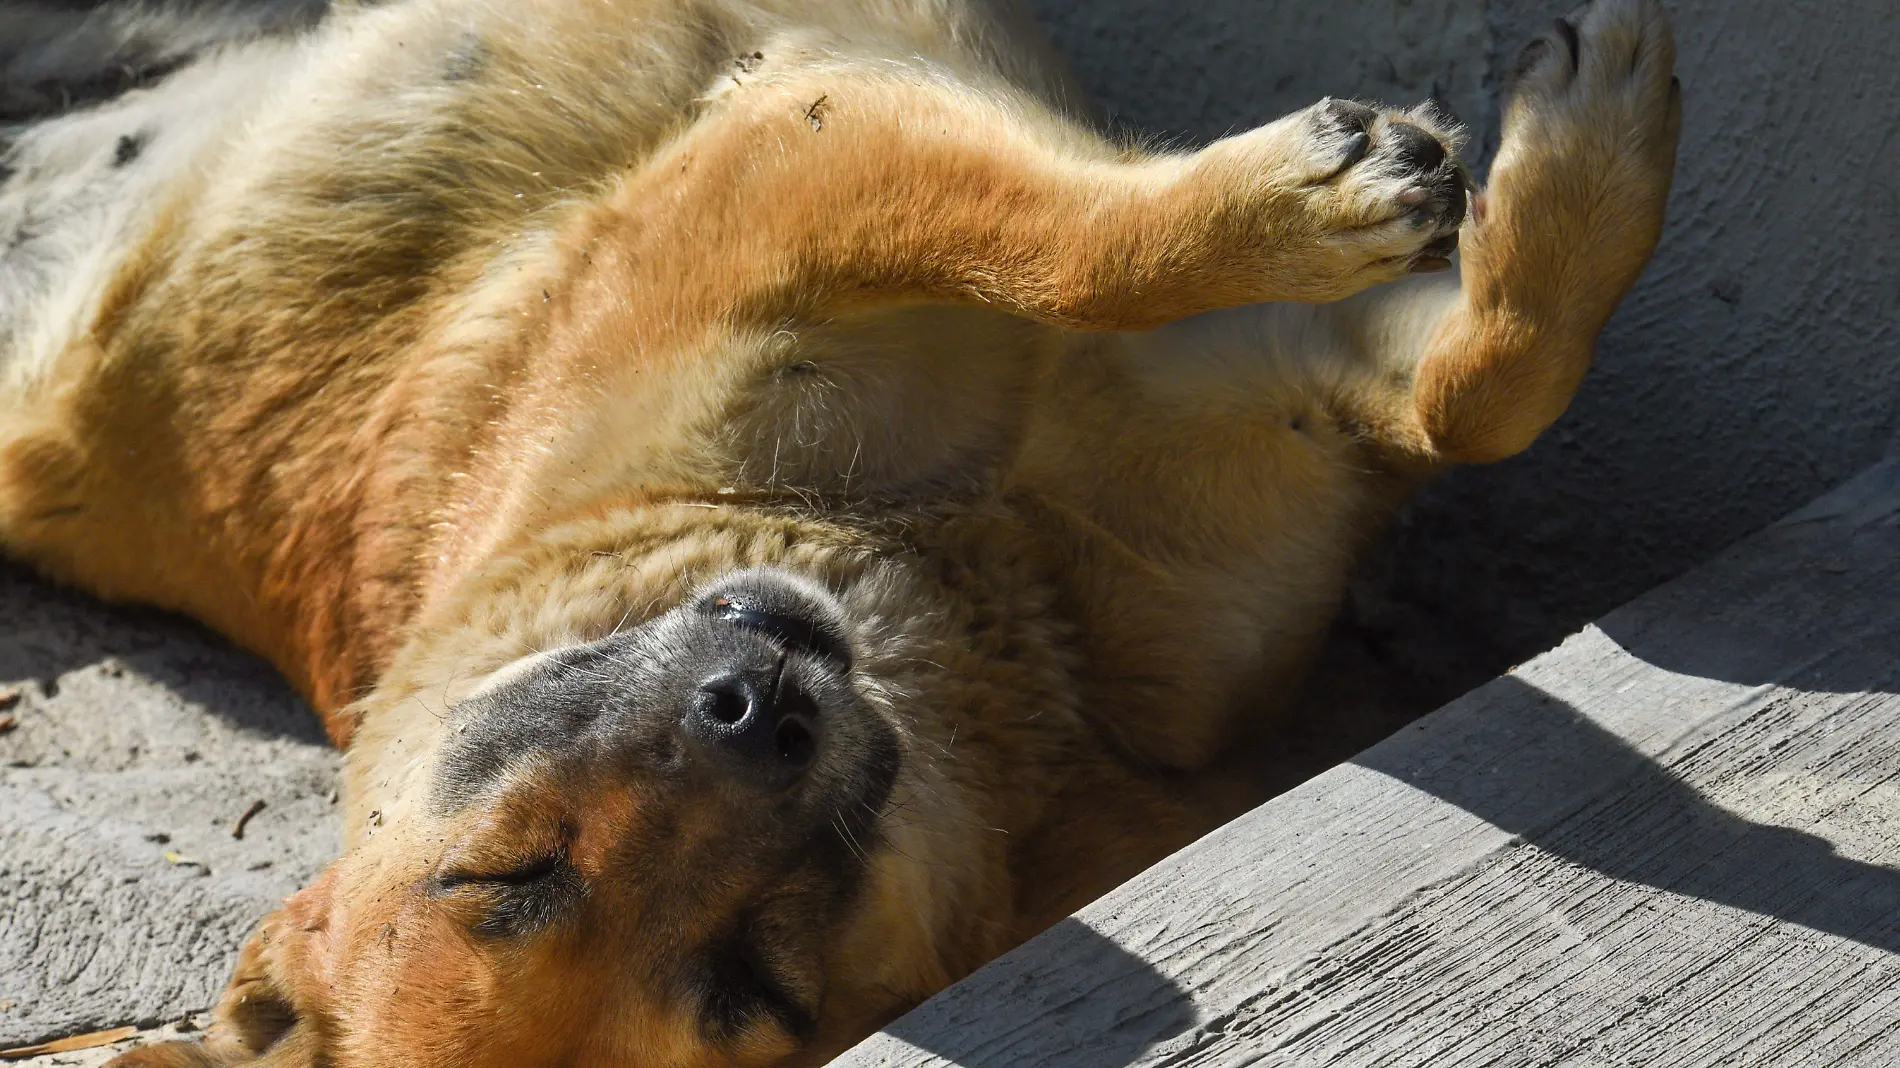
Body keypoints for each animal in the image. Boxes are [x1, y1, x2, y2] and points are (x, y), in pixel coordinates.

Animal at [0, 0, 1679, 1056]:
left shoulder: (793, 156)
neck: (987, 607)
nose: (758, 707)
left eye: (498, 874)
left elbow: (1089, 252)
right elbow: (1468, 392)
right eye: (752, 986)